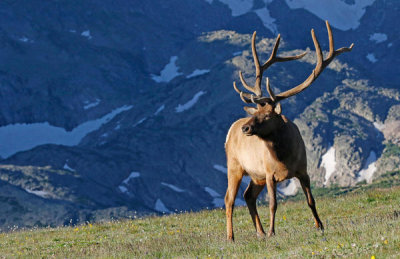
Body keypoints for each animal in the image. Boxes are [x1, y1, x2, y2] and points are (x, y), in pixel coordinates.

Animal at [225, 20, 354, 242]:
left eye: (267, 115)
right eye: (256, 112)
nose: (245, 127)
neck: (284, 157)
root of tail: (228, 133)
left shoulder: (303, 170)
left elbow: (311, 200)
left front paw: (320, 226)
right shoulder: (269, 174)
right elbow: (273, 204)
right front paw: (272, 231)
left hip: (255, 175)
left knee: (248, 195)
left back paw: (259, 232)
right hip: (234, 166)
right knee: (229, 200)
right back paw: (231, 237)